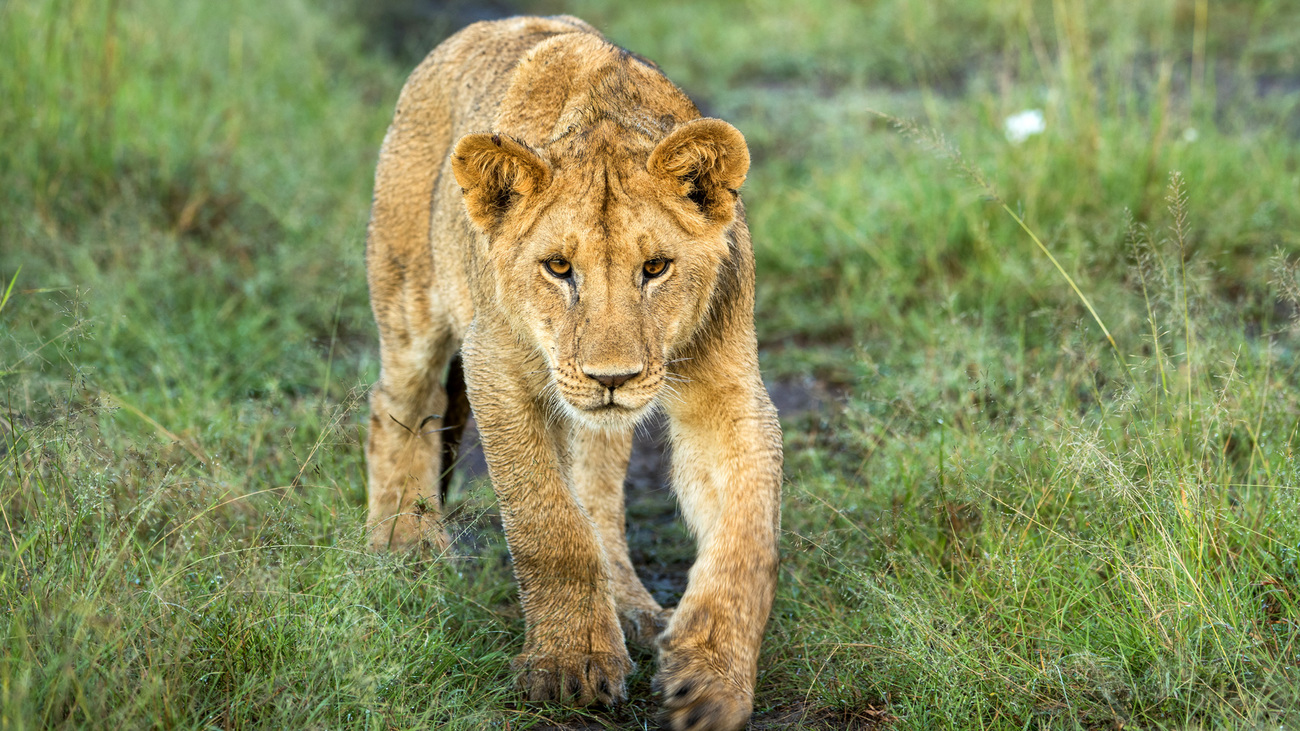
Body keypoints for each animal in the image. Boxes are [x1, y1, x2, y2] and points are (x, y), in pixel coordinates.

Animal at [363, 16, 782, 730]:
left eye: (656, 267)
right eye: (559, 268)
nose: (611, 378)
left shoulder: (726, 391)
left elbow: (747, 533)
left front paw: (711, 679)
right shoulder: (494, 366)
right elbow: (548, 523)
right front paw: (571, 664)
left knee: (599, 499)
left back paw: (636, 612)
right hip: (410, 295)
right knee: (396, 404)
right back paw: (405, 548)